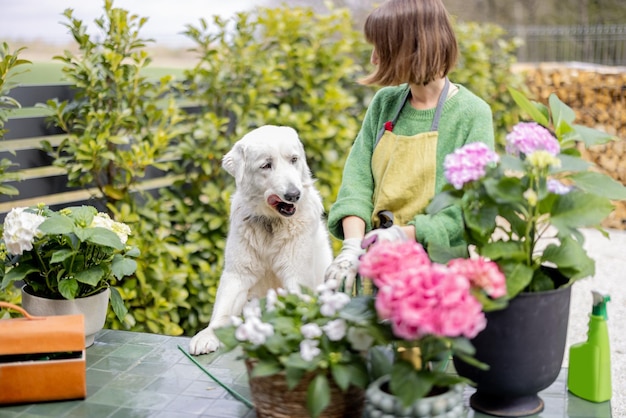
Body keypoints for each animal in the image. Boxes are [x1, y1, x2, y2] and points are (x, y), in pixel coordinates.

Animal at [188, 125, 332, 356]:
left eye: (294, 159)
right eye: (266, 165)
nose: (294, 194)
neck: (272, 223)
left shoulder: (296, 273)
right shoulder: (238, 273)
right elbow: (223, 310)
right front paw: (207, 336)